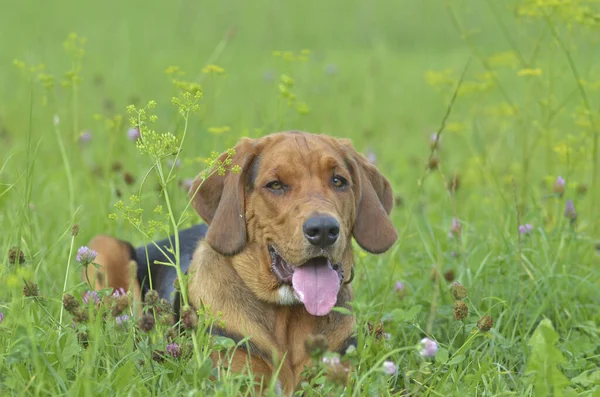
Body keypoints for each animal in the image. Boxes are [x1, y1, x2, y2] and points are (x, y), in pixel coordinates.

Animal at [84, 130, 396, 392]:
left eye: (338, 181)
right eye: (276, 185)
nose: (323, 230)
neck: (286, 315)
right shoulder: (237, 378)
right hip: (107, 247)